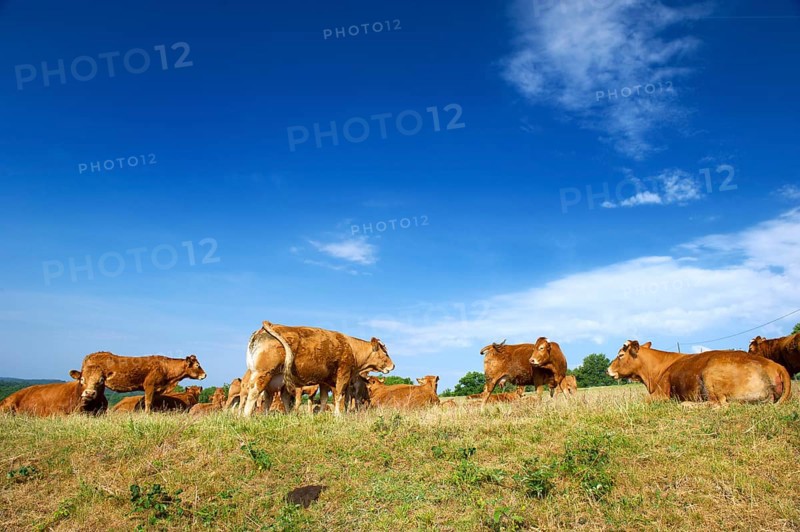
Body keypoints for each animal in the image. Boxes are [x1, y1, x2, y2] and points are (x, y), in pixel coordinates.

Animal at [242, 321, 394, 416]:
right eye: (385, 353)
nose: (393, 365)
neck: (352, 348)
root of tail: (269, 326)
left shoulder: (324, 381)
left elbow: (324, 399)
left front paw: (321, 415)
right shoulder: (343, 374)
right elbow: (339, 396)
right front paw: (338, 416)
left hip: (275, 378)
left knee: (270, 397)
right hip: (263, 373)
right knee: (254, 392)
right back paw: (246, 416)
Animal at [608, 340, 791, 405]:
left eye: (621, 355)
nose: (608, 369)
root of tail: (774, 364)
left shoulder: (660, 393)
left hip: (710, 376)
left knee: (718, 404)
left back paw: (686, 404)